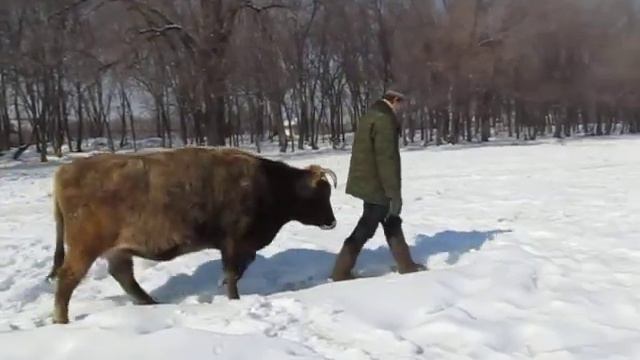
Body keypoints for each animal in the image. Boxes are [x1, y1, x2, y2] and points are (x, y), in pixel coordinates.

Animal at [47, 146, 338, 324]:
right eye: (320, 195)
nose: (332, 222)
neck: (268, 183)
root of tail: (66, 170)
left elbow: (233, 273)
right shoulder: (234, 243)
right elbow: (232, 274)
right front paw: (233, 299)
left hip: (117, 250)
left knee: (124, 277)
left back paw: (151, 303)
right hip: (85, 248)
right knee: (68, 278)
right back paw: (61, 320)